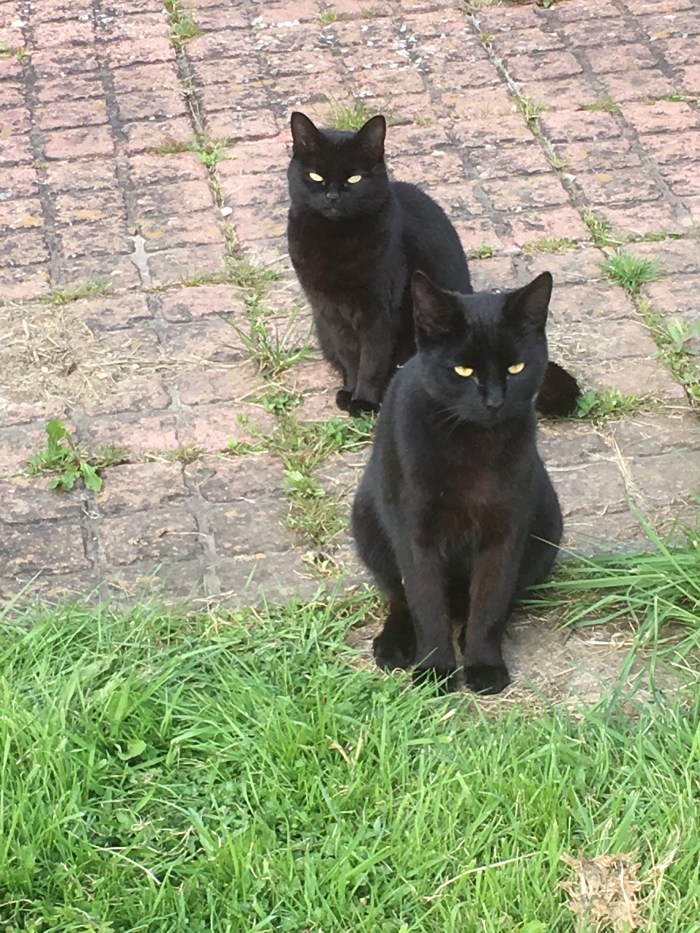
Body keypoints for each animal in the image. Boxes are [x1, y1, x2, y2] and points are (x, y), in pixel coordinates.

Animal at [286, 110, 579, 418]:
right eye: (315, 176)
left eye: (354, 178)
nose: (332, 197)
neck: (336, 241)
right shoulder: (329, 311)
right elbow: (350, 356)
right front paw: (350, 390)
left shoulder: (379, 311)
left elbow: (371, 360)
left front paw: (364, 400)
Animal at [351, 269, 563, 695]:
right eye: (463, 370)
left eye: (516, 368)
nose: (494, 402)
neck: (474, 447)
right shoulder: (417, 535)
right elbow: (426, 604)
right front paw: (435, 670)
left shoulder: (504, 531)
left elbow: (491, 602)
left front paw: (483, 665)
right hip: (368, 523)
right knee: (399, 594)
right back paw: (395, 645)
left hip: (548, 524)